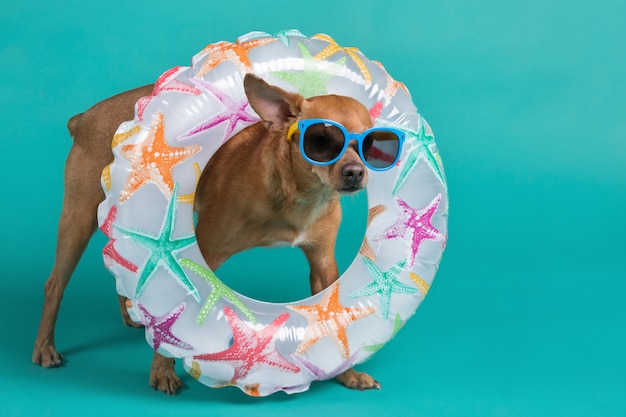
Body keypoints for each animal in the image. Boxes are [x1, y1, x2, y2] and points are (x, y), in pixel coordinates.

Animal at [31, 74, 378, 394]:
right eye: (320, 141)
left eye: (371, 145)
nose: (355, 172)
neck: (300, 195)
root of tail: (83, 118)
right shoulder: (206, 253)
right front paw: (163, 369)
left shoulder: (323, 265)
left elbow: (333, 320)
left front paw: (347, 374)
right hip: (78, 220)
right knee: (54, 285)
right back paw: (45, 347)